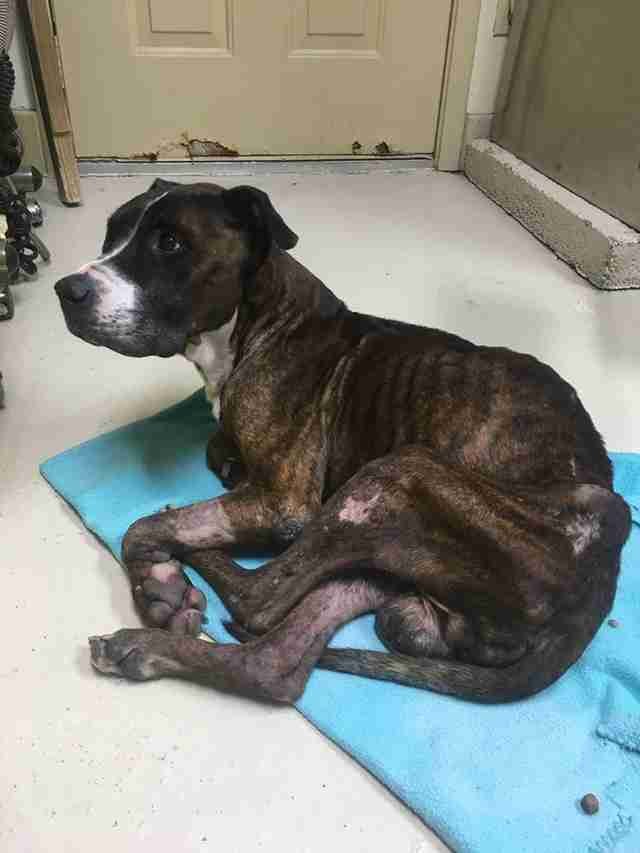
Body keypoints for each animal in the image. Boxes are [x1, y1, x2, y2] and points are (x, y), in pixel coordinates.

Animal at [55, 178, 632, 700]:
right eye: (111, 233)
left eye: (170, 242)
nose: (67, 290)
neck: (262, 317)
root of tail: (606, 574)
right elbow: (215, 448)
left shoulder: (284, 504)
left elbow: (142, 527)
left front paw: (159, 580)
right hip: (383, 552)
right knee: (275, 660)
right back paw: (144, 649)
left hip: (393, 475)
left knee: (256, 596)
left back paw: (188, 570)